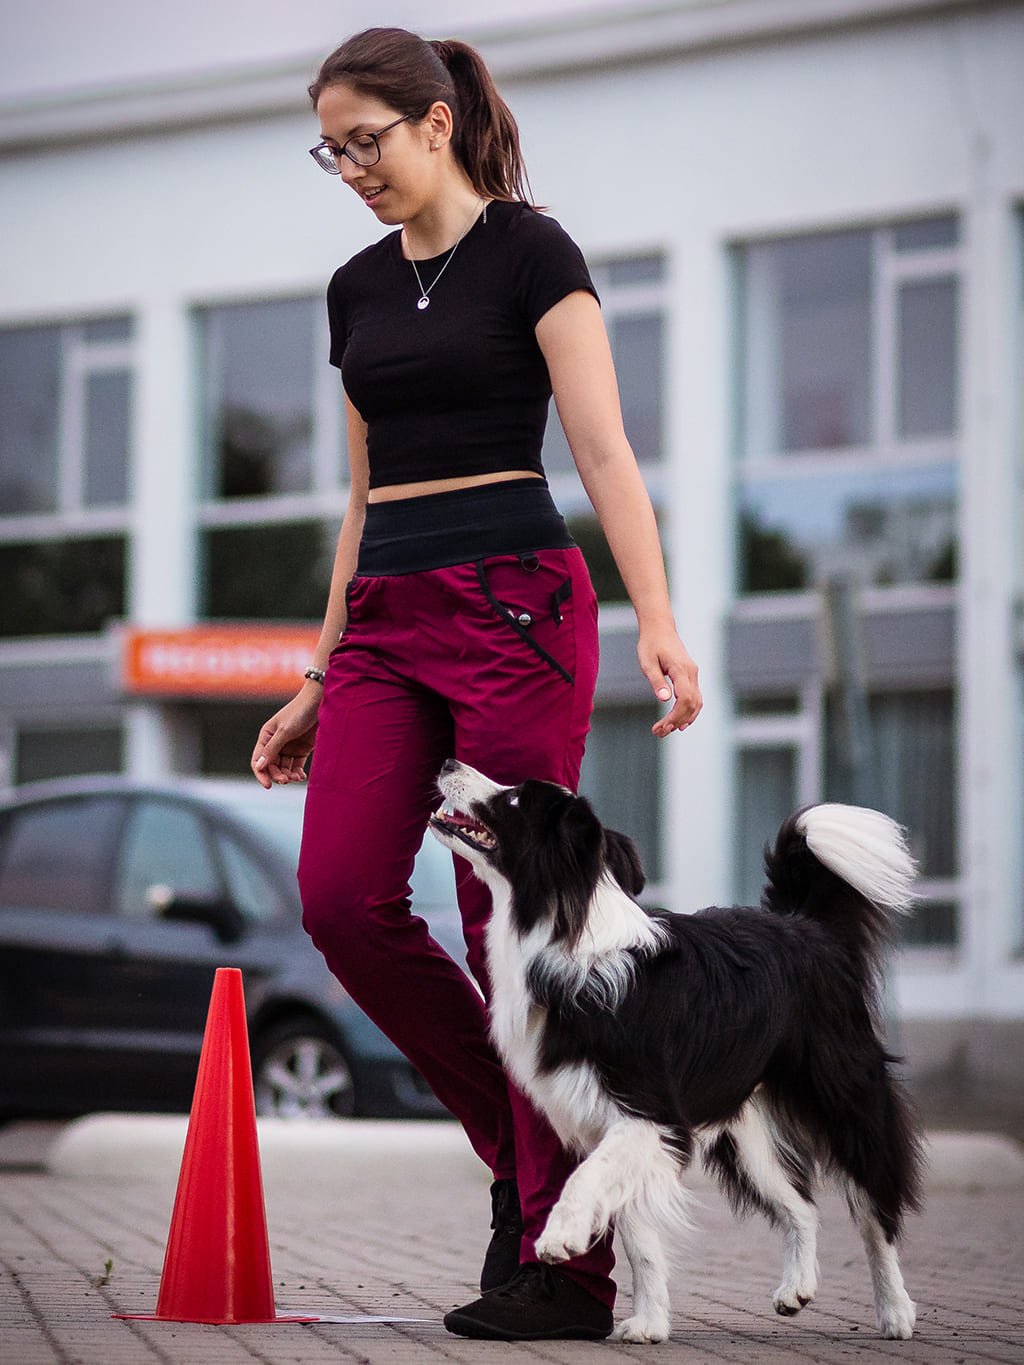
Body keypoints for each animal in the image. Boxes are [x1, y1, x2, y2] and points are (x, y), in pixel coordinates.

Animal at [428, 758, 928, 1343]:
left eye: (513, 800)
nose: (448, 762)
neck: (562, 929)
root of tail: (805, 927)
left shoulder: (650, 1113)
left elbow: (586, 1178)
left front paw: (560, 1236)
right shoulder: (617, 1123)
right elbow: (637, 1235)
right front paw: (649, 1324)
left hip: (843, 1095)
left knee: (876, 1206)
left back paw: (896, 1312)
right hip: (742, 1135)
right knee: (801, 1204)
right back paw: (796, 1289)